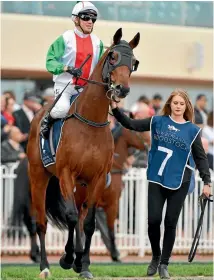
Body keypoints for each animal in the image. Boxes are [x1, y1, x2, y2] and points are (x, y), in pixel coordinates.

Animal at [26, 28, 140, 278]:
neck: (90, 123)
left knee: (79, 216)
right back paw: (45, 266)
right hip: (38, 177)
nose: (122, 89)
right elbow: (69, 216)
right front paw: (67, 258)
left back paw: (77, 261)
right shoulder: (66, 174)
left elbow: (87, 223)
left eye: (134, 62)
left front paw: (84, 265)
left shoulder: (97, 178)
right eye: (113, 57)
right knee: (41, 222)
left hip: (81, 185)